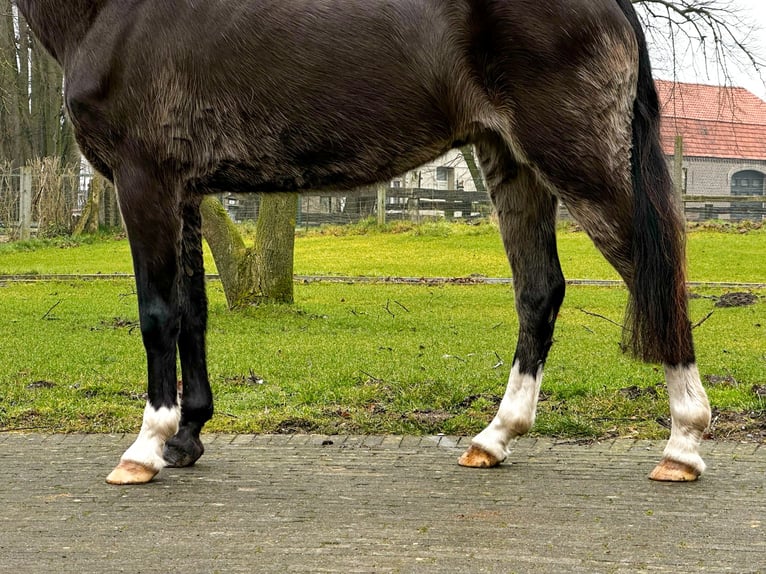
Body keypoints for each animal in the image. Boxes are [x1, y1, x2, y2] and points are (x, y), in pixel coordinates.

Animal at [16, 0, 712, 486]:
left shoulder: (145, 180)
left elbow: (158, 315)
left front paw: (145, 449)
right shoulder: (184, 192)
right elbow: (193, 314)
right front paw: (185, 440)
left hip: (575, 157)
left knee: (655, 276)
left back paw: (682, 445)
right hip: (511, 160)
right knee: (540, 291)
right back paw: (493, 439)